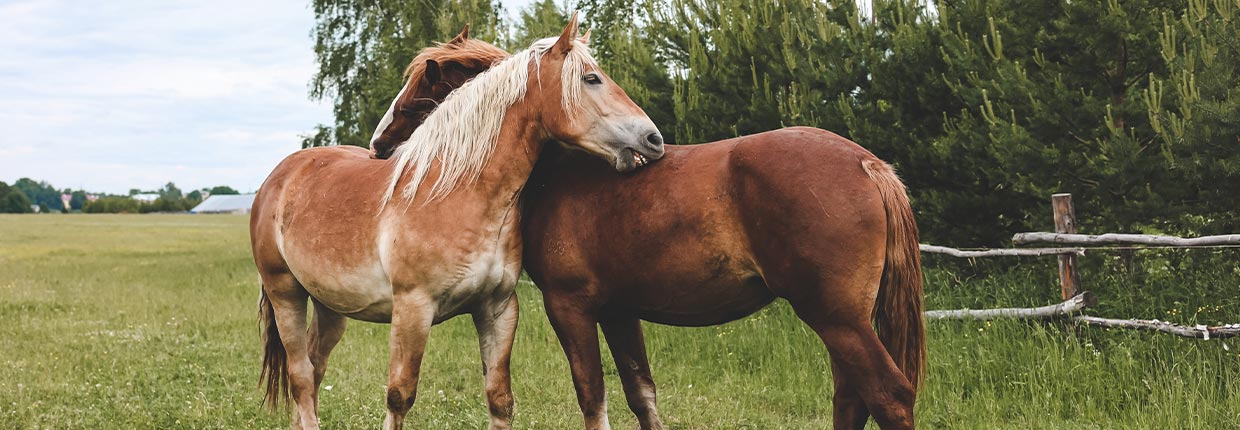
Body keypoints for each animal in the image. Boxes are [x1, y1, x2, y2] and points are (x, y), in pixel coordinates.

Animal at [245, 17, 664, 430]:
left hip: (330, 306)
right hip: (286, 294)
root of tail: (279, 175)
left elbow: (500, 399)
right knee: (301, 376)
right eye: (591, 79)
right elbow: (399, 396)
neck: (458, 194)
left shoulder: (497, 309)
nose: (653, 138)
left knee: (315, 369)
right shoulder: (413, 310)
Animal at [372, 37, 927, 430]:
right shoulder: (620, 311)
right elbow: (642, 395)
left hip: (837, 319)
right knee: (852, 397)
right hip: (843, 322)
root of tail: (867, 164)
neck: (562, 170)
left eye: (418, 96)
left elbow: (592, 394)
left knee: (888, 396)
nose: (379, 146)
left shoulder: (570, 307)